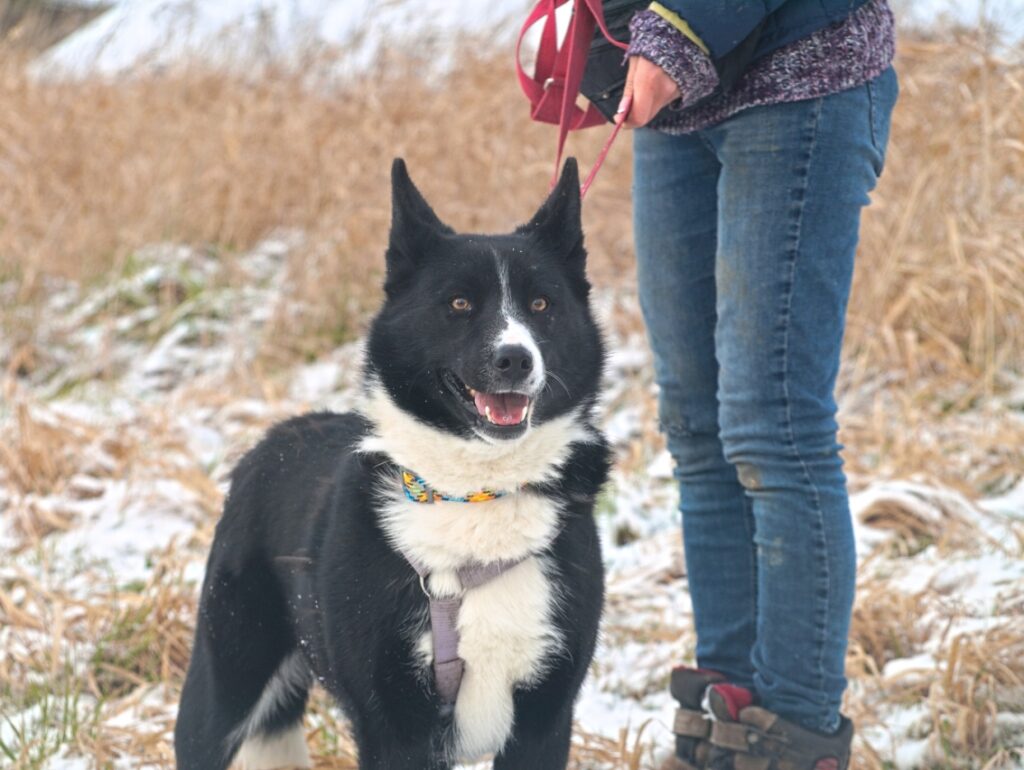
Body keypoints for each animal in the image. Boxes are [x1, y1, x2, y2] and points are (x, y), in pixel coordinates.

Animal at [176, 159, 606, 765]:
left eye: (542, 304)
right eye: (459, 304)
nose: (515, 359)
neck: (473, 491)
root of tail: (278, 435)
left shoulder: (544, 720)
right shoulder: (395, 729)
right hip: (220, 693)